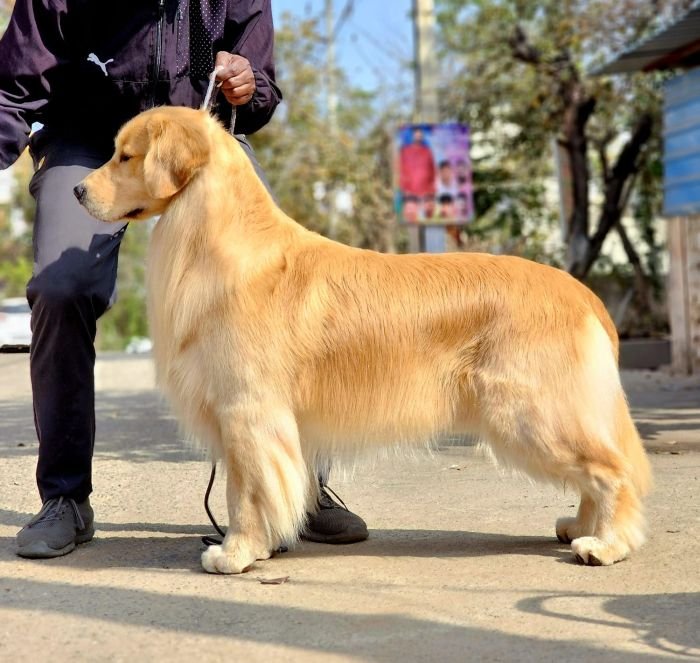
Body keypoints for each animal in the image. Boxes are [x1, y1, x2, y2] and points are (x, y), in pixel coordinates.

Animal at [75, 106, 652, 572]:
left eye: (125, 156)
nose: (77, 190)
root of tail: (582, 293)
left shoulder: (248, 409)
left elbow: (247, 491)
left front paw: (236, 552)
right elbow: (254, 488)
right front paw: (254, 549)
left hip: (529, 413)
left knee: (613, 470)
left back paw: (606, 544)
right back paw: (580, 528)